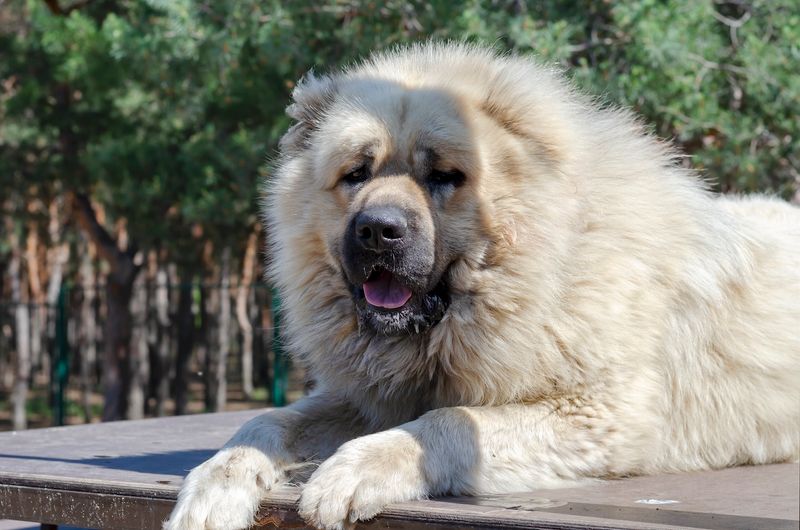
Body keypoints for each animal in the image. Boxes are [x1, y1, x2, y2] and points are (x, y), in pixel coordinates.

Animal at [164, 42, 800, 528]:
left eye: (445, 176)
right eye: (356, 174)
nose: (378, 230)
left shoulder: (597, 416)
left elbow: (447, 422)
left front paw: (349, 472)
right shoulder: (367, 397)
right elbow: (267, 422)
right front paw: (212, 490)